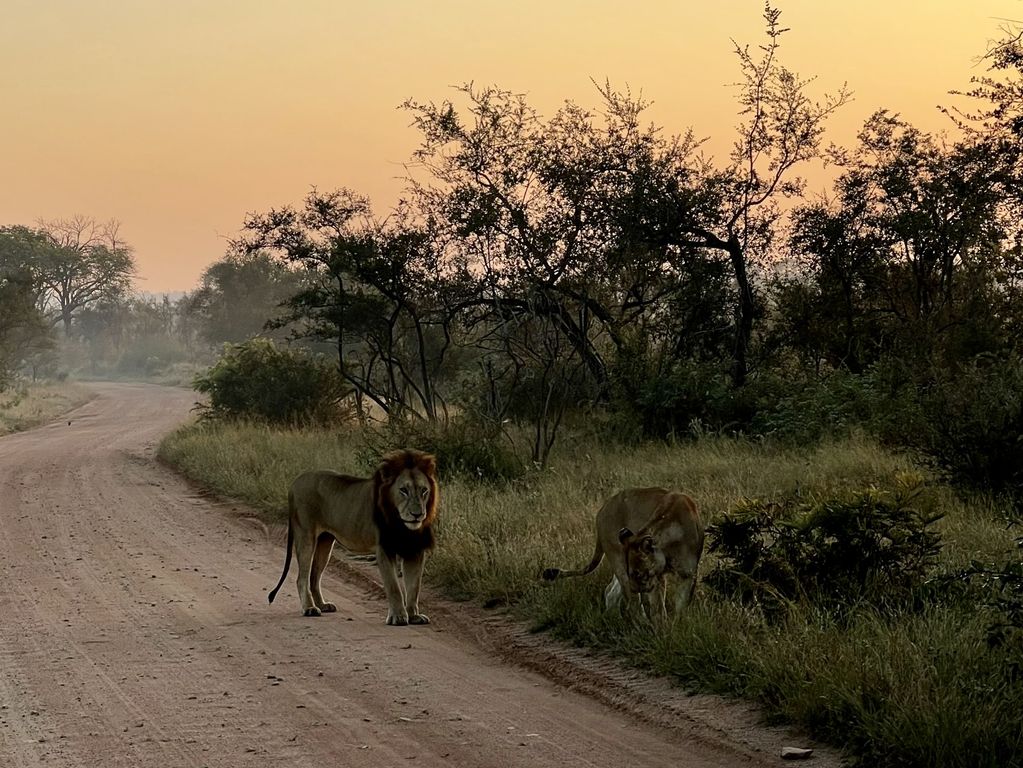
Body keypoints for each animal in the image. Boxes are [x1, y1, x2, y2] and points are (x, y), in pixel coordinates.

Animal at [265, 449, 437, 625]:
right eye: (403, 490)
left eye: (424, 490)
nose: (417, 514)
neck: (402, 524)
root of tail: (295, 482)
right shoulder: (384, 549)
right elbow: (393, 586)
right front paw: (398, 617)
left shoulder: (415, 550)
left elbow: (414, 587)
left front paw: (414, 616)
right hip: (306, 536)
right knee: (302, 577)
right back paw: (310, 608)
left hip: (325, 541)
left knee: (314, 576)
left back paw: (323, 605)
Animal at [544, 488, 703, 621]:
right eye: (634, 573)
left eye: (639, 574)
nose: (634, 589)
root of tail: (601, 511)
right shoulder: (655, 578)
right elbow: (658, 609)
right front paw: (661, 630)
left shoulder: (689, 574)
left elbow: (680, 607)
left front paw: (676, 626)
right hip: (618, 561)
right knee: (631, 605)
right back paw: (641, 625)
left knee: (610, 593)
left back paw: (615, 621)